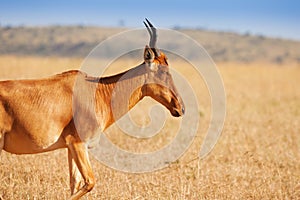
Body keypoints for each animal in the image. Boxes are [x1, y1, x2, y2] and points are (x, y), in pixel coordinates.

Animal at [0, 18, 185, 198]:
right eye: (163, 72)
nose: (180, 108)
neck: (96, 91)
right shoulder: (78, 144)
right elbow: (90, 182)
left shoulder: (70, 146)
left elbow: (75, 183)